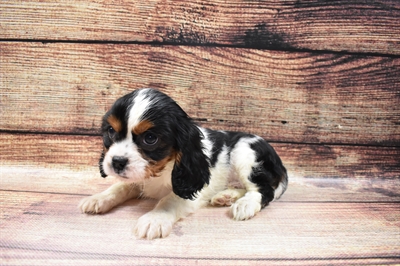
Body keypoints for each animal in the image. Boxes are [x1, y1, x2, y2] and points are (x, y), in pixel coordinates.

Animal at [79, 88, 288, 239]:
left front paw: (154, 218)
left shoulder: (189, 187)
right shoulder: (137, 177)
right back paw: (226, 196)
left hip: (244, 152)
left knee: (263, 190)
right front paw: (98, 198)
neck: (160, 170)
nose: (117, 162)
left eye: (150, 138)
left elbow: (169, 200)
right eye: (111, 131)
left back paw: (245, 204)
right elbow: (120, 187)